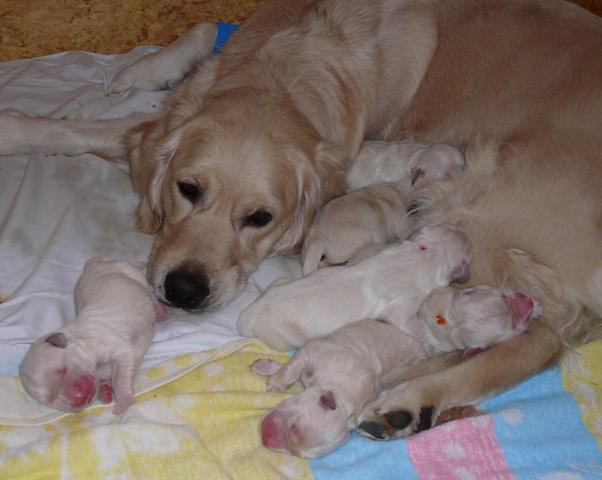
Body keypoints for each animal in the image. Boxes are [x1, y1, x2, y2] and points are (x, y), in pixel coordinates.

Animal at [19, 256, 164, 414]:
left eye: (63, 370)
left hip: (132, 273)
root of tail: (92, 264)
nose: (79, 397)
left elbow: (119, 378)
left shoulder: (115, 347)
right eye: (50, 399)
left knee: (150, 291)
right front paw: (104, 390)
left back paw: (159, 310)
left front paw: (124, 402)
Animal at [237, 223, 472, 350]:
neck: (426, 253)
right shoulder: (403, 309)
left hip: (279, 283)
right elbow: (410, 325)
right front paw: (430, 345)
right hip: (287, 333)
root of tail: (249, 314)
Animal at [248, 318, 426, 458]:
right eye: (294, 427)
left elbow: (294, 374)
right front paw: (274, 380)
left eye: (296, 454)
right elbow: (290, 369)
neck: (341, 394)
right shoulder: (311, 349)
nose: (265, 439)